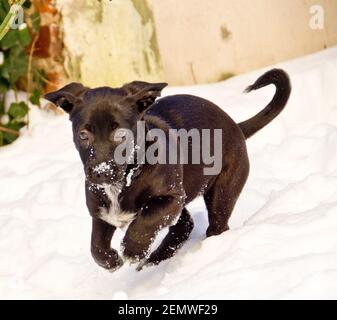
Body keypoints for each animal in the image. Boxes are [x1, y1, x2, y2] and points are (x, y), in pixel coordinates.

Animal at [44, 69, 290, 272]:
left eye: (121, 135)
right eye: (83, 135)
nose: (100, 172)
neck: (126, 180)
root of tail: (236, 127)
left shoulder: (172, 198)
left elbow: (145, 221)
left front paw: (132, 249)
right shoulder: (101, 212)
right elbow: (96, 246)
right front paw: (112, 260)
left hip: (222, 192)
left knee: (215, 224)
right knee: (184, 226)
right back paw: (154, 259)